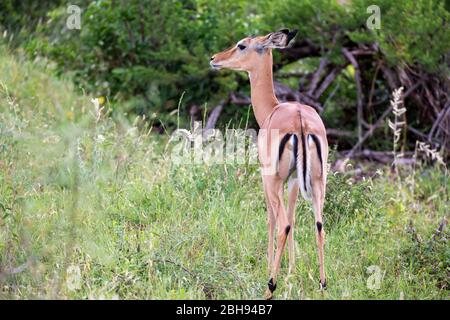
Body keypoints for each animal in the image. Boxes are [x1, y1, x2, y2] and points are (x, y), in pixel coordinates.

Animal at [209, 28, 328, 298]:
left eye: (242, 45)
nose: (214, 59)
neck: (272, 109)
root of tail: (300, 123)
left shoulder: (267, 179)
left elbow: (271, 220)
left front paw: (271, 266)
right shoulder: (293, 181)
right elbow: (294, 217)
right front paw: (292, 270)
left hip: (274, 181)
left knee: (282, 223)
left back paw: (270, 286)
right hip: (318, 183)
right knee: (318, 224)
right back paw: (323, 284)